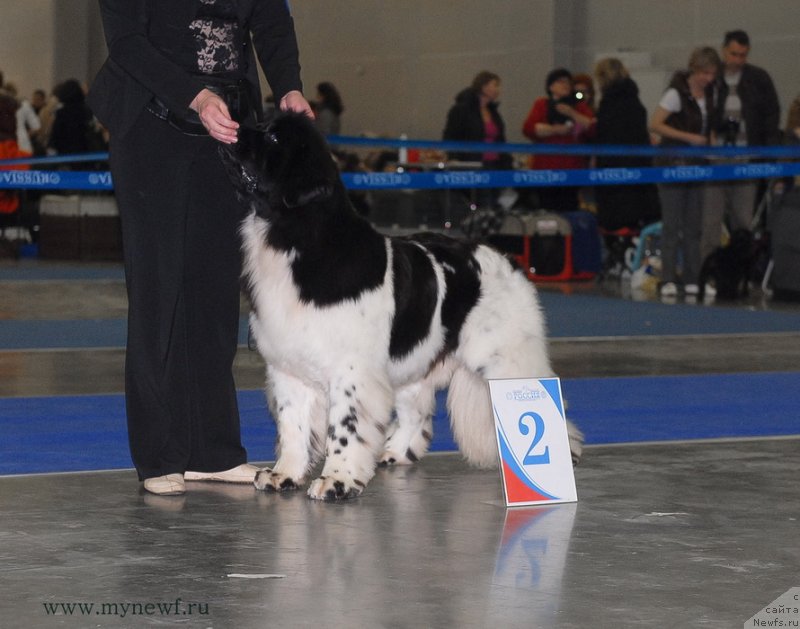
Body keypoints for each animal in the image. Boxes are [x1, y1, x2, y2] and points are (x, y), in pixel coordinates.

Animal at [219, 110, 580, 498]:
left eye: (273, 138)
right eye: (261, 123)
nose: (232, 127)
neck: (297, 239)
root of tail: (507, 258)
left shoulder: (352, 372)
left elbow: (343, 428)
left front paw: (337, 481)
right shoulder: (287, 367)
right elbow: (293, 425)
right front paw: (284, 474)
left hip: (505, 359)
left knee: (543, 393)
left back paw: (563, 457)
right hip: (416, 359)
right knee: (417, 411)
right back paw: (395, 451)